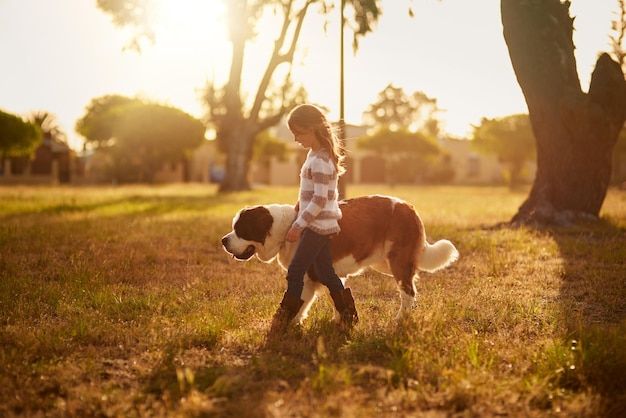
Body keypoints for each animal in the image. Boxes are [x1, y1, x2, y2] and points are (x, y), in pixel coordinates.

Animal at [222, 194, 456, 322]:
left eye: (240, 229)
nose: (223, 240)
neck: (287, 228)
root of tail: (409, 207)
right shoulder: (329, 273)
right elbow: (337, 296)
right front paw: (341, 321)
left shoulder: (305, 277)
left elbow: (299, 302)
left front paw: (287, 325)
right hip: (385, 262)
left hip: (397, 260)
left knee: (408, 291)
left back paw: (401, 319)